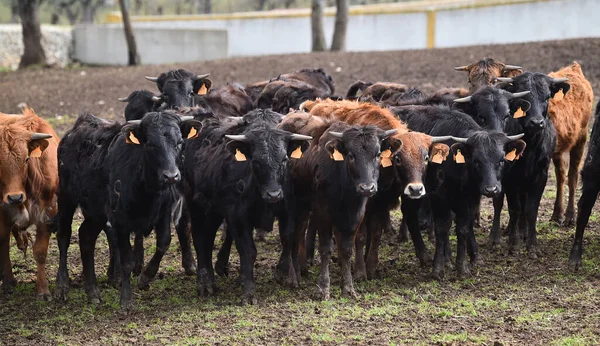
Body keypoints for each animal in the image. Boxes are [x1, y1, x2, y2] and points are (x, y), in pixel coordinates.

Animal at [0, 109, 58, 298]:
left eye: (26, 159)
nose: (14, 198)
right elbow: (3, 241)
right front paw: (8, 281)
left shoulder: (48, 212)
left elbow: (40, 251)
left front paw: (43, 289)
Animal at [55, 112, 199, 310]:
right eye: (150, 144)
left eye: (179, 142)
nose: (171, 176)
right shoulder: (120, 221)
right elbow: (127, 261)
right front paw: (126, 300)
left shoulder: (163, 211)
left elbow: (163, 243)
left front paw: (146, 277)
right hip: (66, 198)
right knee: (64, 236)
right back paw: (62, 286)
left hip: (96, 213)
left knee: (86, 237)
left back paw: (92, 292)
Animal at [180, 109, 312, 304]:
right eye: (256, 161)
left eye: (284, 159)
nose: (273, 194)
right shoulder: (237, 216)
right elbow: (248, 251)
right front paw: (249, 292)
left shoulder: (288, 209)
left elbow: (288, 239)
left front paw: (285, 274)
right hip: (196, 205)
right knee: (201, 240)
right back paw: (205, 283)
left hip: (213, 210)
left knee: (208, 238)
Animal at [392, 105, 524, 278]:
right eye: (476, 161)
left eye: (501, 160)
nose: (491, 189)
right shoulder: (439, 197)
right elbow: (442, 228)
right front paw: (438, 267)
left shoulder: (469, 199)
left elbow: (463, 227)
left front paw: (463, 265)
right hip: (413, 190)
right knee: (410, 214)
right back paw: (424, 256)